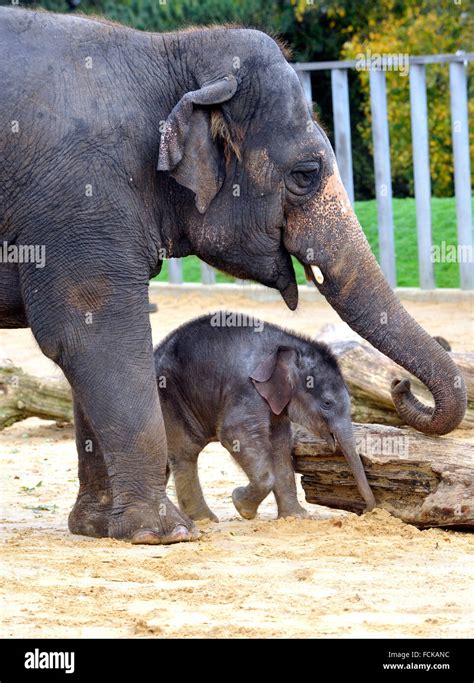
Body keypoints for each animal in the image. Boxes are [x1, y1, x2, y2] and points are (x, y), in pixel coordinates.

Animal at [155, 316, 374, 524]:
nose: (370, 510)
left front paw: (297, 517)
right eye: (327, 403)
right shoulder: (246, 386)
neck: (286, 345)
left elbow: (279, 444)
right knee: (186, 451)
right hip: (170, 396)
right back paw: (204, 519)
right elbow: (234, 433)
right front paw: (241, 506)